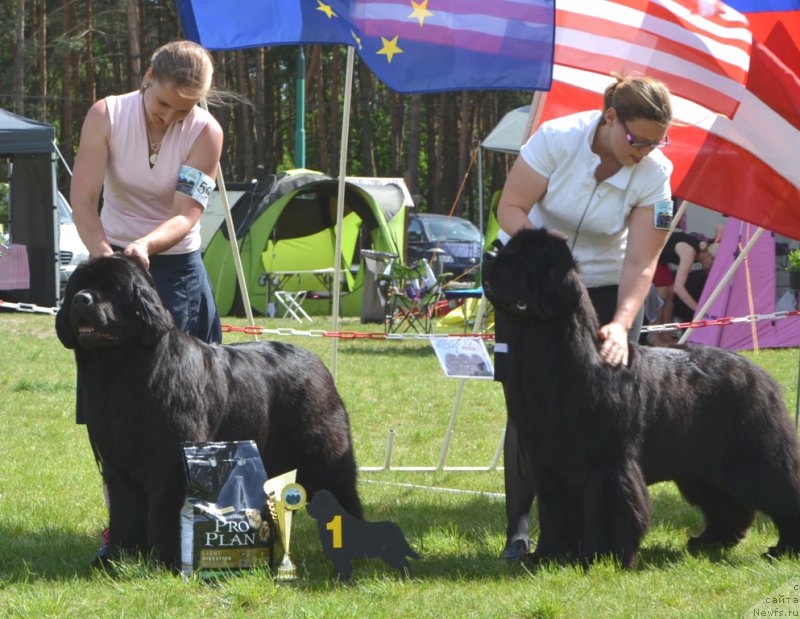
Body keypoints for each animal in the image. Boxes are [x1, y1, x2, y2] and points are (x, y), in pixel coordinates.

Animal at [57, 254, 364, 568]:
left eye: (112, 289)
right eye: (80, 287)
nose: (81, 300)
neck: (121, 371)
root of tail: (317, 363)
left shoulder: (172, 463)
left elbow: (168, 511)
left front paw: (171, 560)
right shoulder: (117, 465)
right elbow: (124, 510)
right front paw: (117, 556)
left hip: (323, 451)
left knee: (342, 491)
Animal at [484, 228, 800, 568]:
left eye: (524, 258)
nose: (487, 256)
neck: (559, 359)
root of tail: (759, 372)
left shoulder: (606, 461)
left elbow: (608, 507)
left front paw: (602, 556)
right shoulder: (548, 461)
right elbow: (554, 510)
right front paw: (547, 555)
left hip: (758, 456)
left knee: (782, 491)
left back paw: (782, 548)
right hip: (701, 465)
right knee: (726, 504)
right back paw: (709, 541)